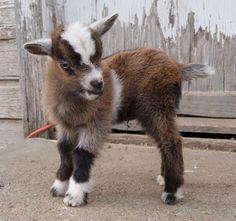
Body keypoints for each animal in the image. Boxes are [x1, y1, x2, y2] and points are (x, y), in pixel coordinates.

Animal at [23, 13, 214, 206]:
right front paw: (59, 186)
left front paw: (75, 194)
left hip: (156, 106)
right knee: (163, 140)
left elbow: (81, 152)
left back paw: (172, 192)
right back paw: (164, 178)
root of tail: (176, 66)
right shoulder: (65, 125)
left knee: (171, 140)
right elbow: (63, 149)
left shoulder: (96, 122)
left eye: (98, 57)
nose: (98, 84)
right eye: (64, 64)